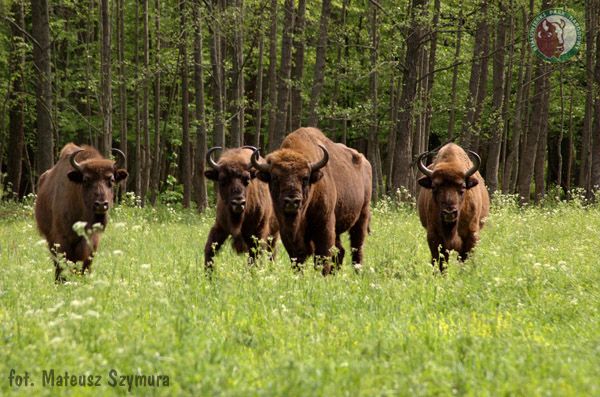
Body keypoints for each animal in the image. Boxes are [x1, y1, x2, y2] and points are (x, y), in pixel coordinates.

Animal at [35, 142, 127, 282]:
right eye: (85, 180)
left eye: (111, 180)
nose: (101, 204)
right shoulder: (61, 239)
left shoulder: (93, 241)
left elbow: (86, 264)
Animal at [250, 127, 370, 276]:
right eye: (275, 177)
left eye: (305, 178)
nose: (292, 201)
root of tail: (365, 162)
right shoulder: (286, 231)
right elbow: (298, 256)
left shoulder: (324, 225)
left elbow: (322, 254)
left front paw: (323, 276)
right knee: (341, 250)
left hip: (362, 215)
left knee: (357, 247)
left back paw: (357, 272)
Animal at [418, 142, 488, 270]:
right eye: (434, 187)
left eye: (463, 187)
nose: (449, 212)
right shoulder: (434, 236)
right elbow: (440, 262)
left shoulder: (471, 236)